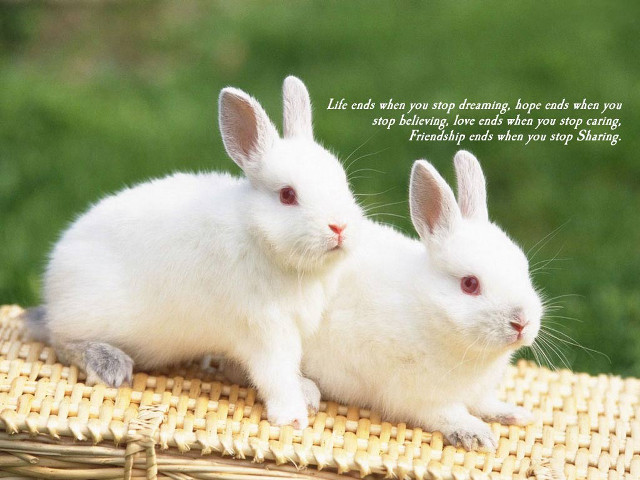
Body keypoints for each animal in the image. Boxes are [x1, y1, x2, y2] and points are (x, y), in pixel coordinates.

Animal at [34, 76, 363, 429]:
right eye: (288, 195)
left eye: (343, 182)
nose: (340, 227)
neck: (259, 238)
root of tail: (53, 277)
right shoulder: (266, 330)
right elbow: (276, 375)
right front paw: (293, 417)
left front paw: (308, 392)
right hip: (85, 315)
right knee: (61, 342)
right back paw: (110, 365)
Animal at [299, 150, 543, 450]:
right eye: (470, 284)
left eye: (523, 268)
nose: (521, 322)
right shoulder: (417, 396)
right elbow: (447, 413)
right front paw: (476, 435)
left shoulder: (477, 392)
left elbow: (484, 403)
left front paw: (514, 413)